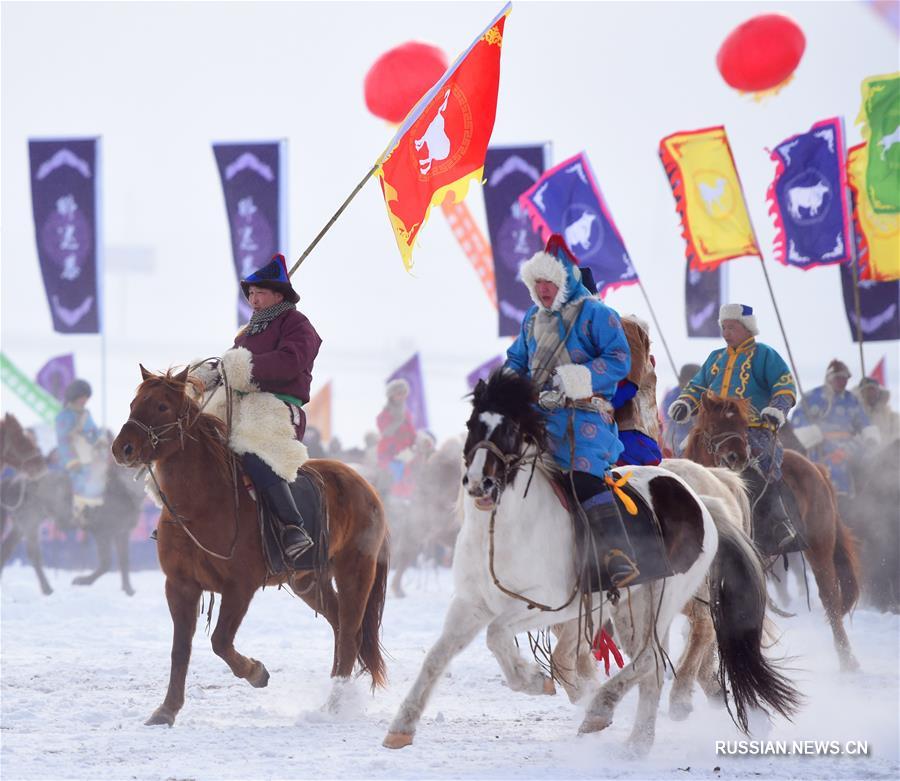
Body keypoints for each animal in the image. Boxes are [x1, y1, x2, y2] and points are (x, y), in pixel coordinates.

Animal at [110, 366, 388, 724]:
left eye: (161, 406)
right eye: (134, 403)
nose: (123, 448)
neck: (202, 502)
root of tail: (366, 486)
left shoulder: (239, 587)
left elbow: (220, 641)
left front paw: (257, 672)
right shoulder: (180, 586)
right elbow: (180, 649)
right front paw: (167, 710)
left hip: (356, 571)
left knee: (351, 630)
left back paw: (335, 704)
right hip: (310, 581)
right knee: (339, 625)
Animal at [384, 372, 800, 756]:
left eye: (512, 429)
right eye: (473, 424)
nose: (479, 483)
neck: (502, 533)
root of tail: (702, 500)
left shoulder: (549, 603)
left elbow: (498, 635)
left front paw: (533, 680)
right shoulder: (471, 604)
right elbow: (437, 658)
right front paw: (401, 726)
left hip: (662, 602)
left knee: (653, 657)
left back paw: (606, 712)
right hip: (633, 608)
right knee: (651, 666)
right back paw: (635, 741)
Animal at [684, 390, 860, 672]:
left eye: (741, 425)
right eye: (713, 425)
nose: (736, 458)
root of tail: (817, 470)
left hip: (820, 547)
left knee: (830, 598)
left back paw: (847, 661)